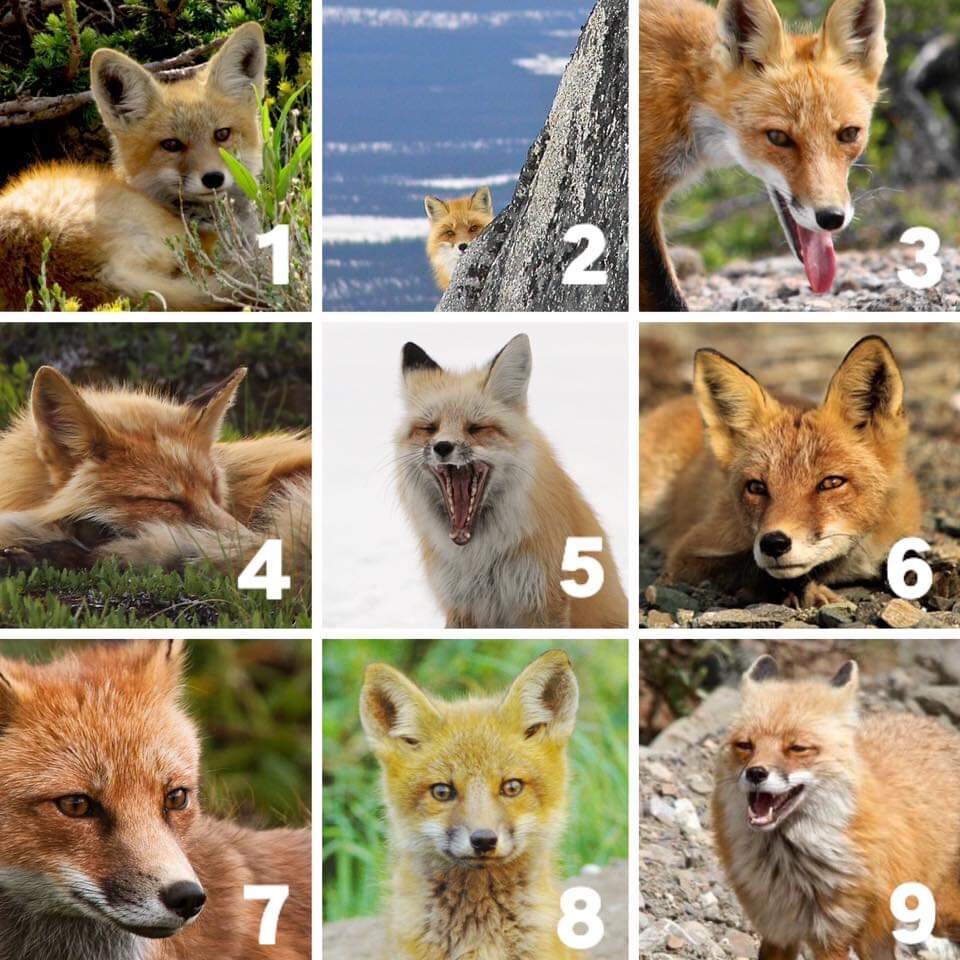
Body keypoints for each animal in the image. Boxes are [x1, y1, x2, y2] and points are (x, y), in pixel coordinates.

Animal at [395, 333, 627, 628]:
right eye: (428, 428)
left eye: (477, 428)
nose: (442, 446)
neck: (481, 557)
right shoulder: (461, 607)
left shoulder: (544, 602)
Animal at [639, 335, 921, 608]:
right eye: (756, 487)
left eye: (831, 482)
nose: (773, 543)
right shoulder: (685, 555)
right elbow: (751, 566)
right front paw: (802, 590)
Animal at [714, 655, 960, 960]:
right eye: (745, 745)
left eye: (798, 748)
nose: (756, 773)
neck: (786, 868)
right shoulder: (777, 928)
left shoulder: (832, 937)